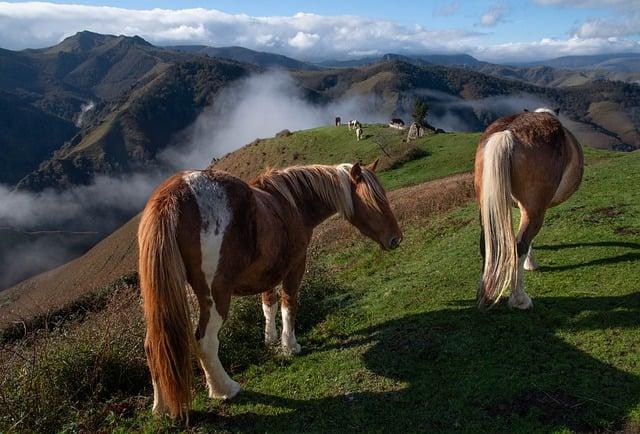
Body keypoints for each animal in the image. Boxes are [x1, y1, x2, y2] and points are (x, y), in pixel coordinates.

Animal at [138, 159, 402, 418]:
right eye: (376, 199)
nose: (396, 238)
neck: (293, 203)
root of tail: (171, 195)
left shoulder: (270, 271)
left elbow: (269, 305)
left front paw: (270, 340)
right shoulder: (295, 266)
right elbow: (289, 304)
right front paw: (290, 345)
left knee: (154, 346)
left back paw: (162, 408)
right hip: (215, 296)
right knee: (205, 341)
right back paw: (225, 389)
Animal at [476, 107, 584, 308]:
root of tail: (508, 133)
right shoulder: (536, 209)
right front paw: (531, 264)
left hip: (486, 207)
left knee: (489, 245)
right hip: (535, 211)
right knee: (519, 247)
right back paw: (520, 299)